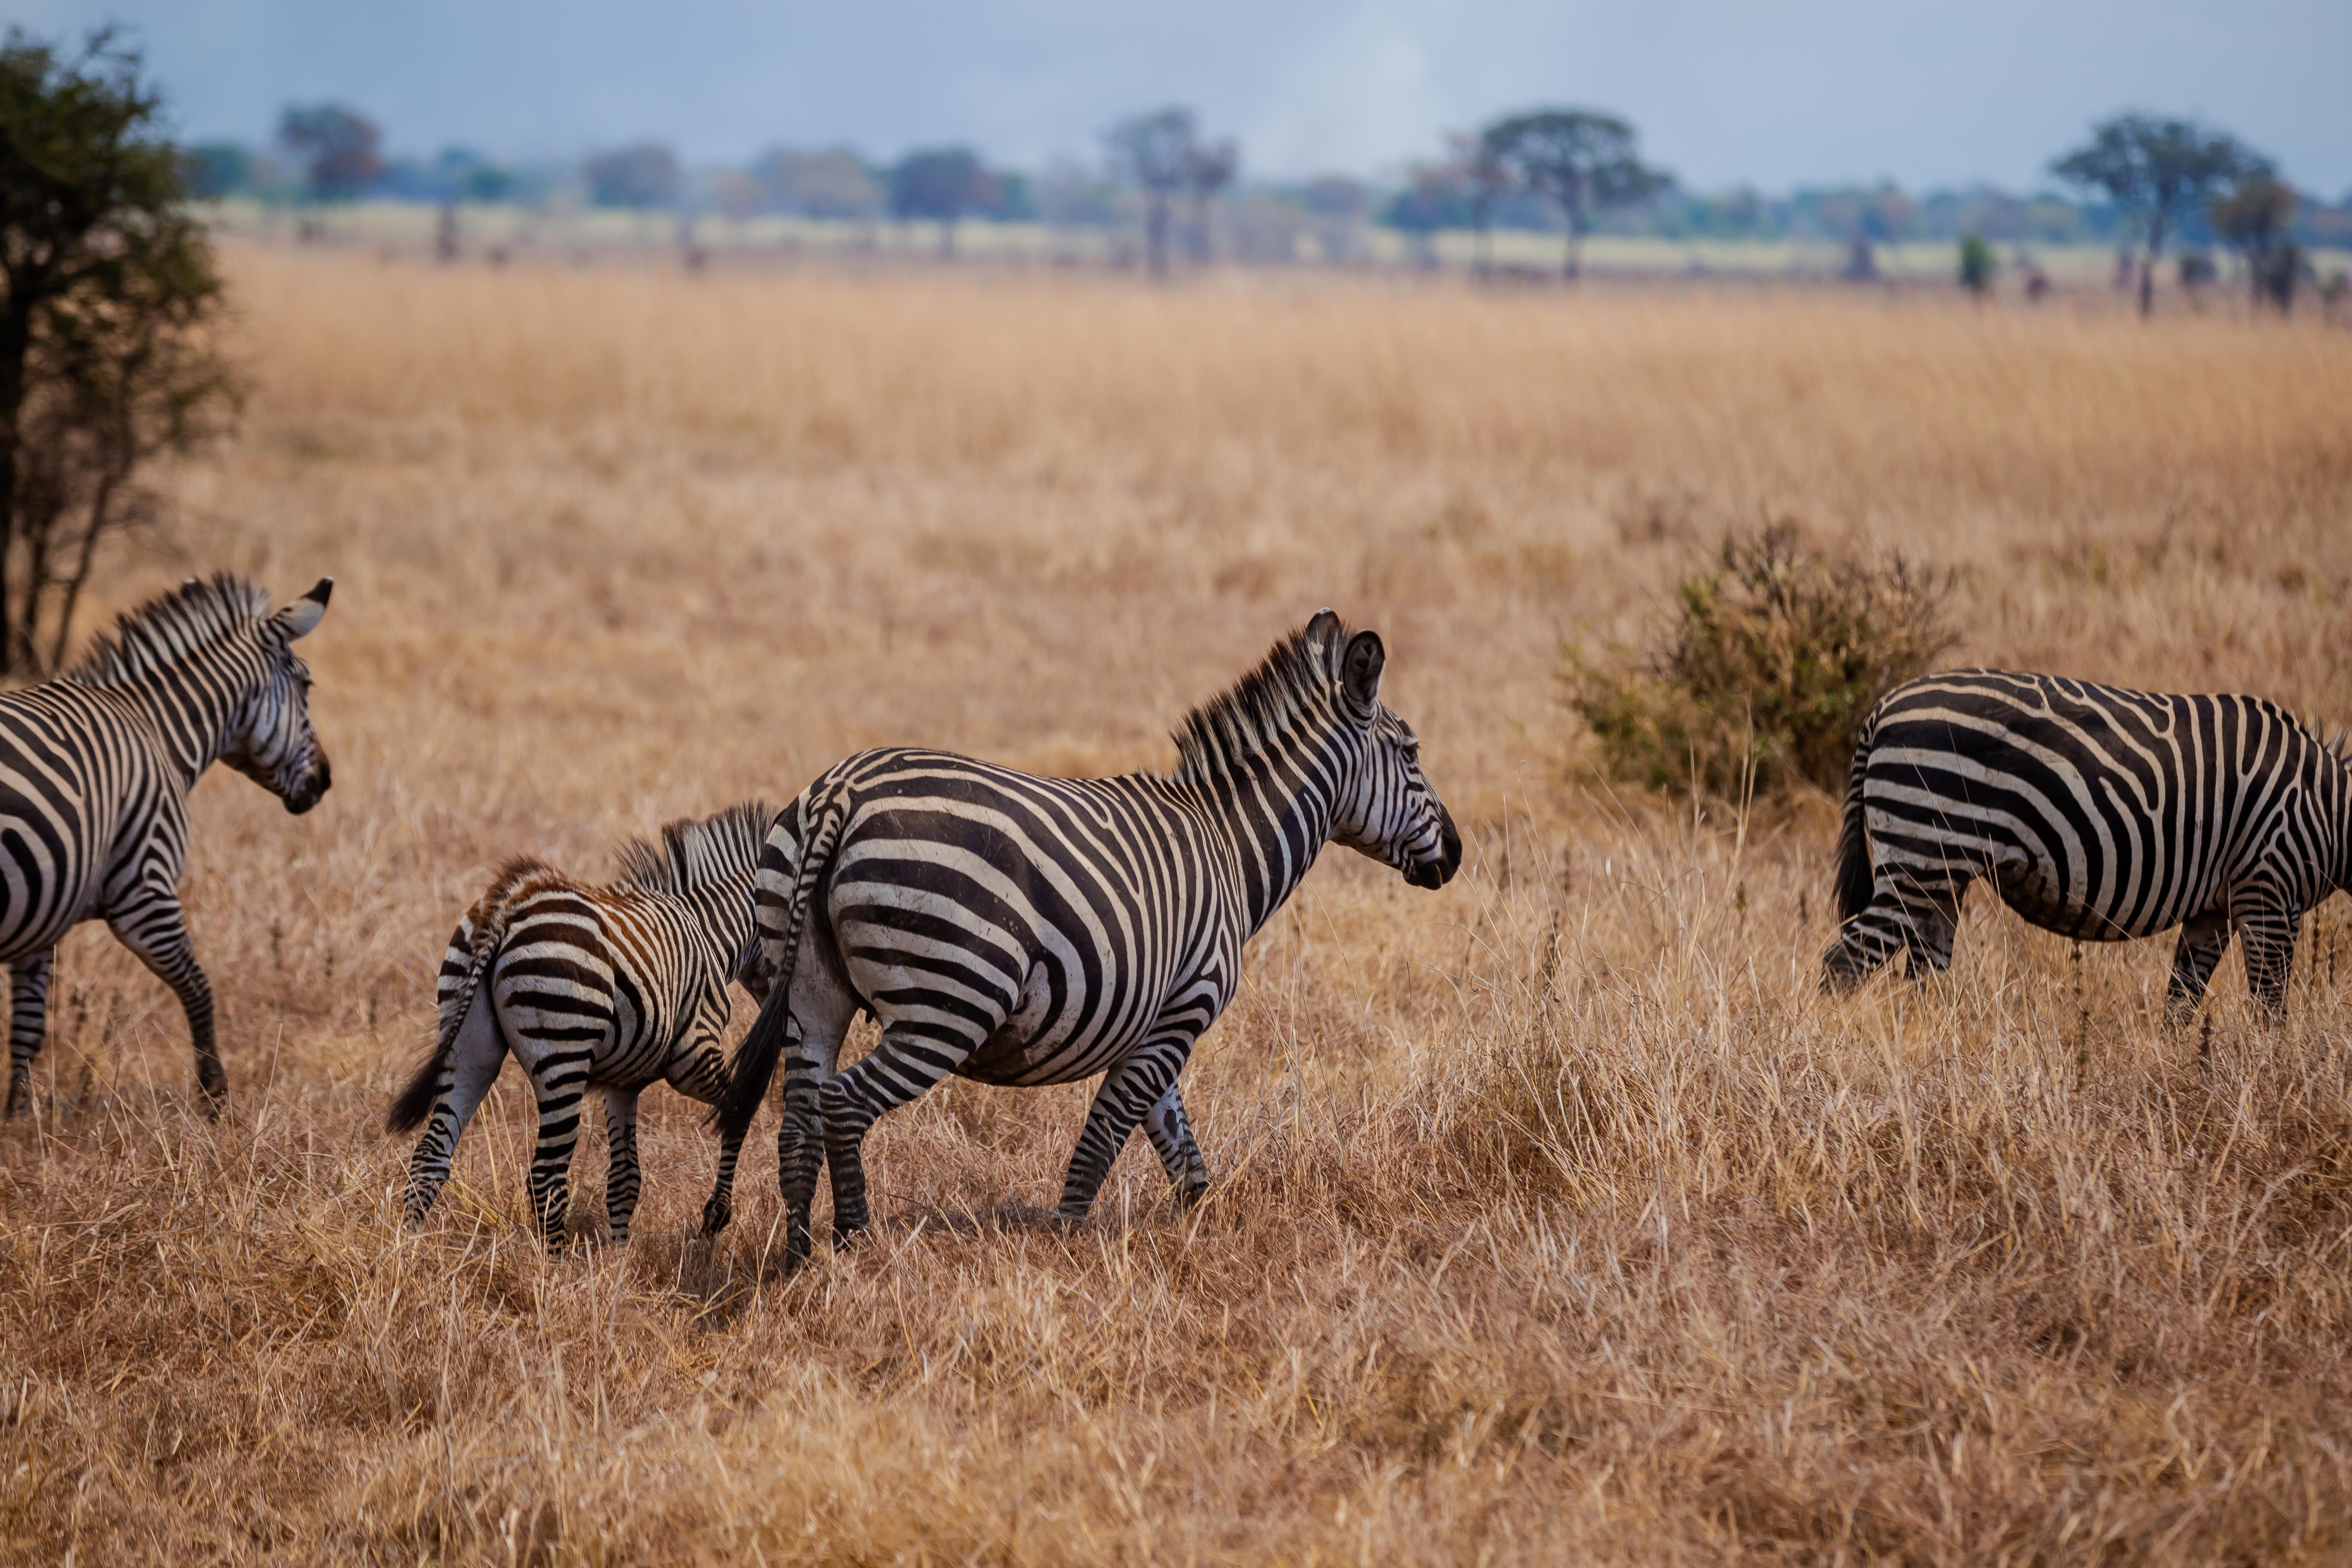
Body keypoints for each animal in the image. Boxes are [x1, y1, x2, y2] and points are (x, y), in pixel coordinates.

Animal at [2, 574, 333, 1119]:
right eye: (306, 687)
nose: (325, 781)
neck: (156, 729)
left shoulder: (44, 912)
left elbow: (27, 1028)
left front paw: (17, 1121)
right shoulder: (145, 891)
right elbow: (199, 989)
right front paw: (215, 1098)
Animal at [387, 801, 776, 1249]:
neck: (709, 930)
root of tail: (510, 905)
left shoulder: (624, 1081)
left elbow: (626, 1179)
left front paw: (619, 1257)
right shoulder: (694, 1054)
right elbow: (739, 1108)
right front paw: (716, 1217)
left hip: (468, 1047)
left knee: (431, 1156)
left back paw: (410, 1248)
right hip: (563, 1053)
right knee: (545, 1175)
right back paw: (556, 1264)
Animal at [702, 609, 1461, 1262]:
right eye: (1412, 753)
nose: (1455, 855)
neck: (1228, 846)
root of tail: (841, 794)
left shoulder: (1156, 1021)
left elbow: (1177, 1144)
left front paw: (1197, 1232)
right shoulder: (1184, 1007)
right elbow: (1106, 1138)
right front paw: (1068, 1248)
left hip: (811, 993)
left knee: (798, 1122)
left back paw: (802, 1263)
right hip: (949, 1001)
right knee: (845, 1104)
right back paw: (857, 1248)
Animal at [1821, 668, 2352, 1018]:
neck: (2332, 812)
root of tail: (1883, 708)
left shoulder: (2215, 908)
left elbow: (2181, 1002)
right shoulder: (2269, 887)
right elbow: (2270, 1007)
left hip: (1941, 875)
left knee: (1922, 977)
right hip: (1918, 856)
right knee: (1843, 963)